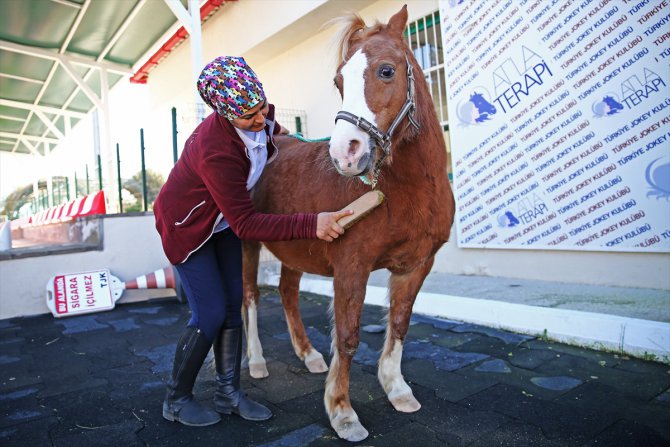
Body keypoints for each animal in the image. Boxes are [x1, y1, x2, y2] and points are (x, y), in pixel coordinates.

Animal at [242, 5, 456, 442]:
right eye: (339, 81)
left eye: (387, 71)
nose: (346, 154)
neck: (406, 188)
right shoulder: (351, 266)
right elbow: (348, 336)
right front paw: (342, 412)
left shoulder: (416, 265)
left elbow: (399, 323)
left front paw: (396, 388)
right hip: (248, 244)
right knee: (251, 298)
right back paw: (256, 361)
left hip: (295, 249)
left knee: (288, 293)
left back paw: (308, 355)